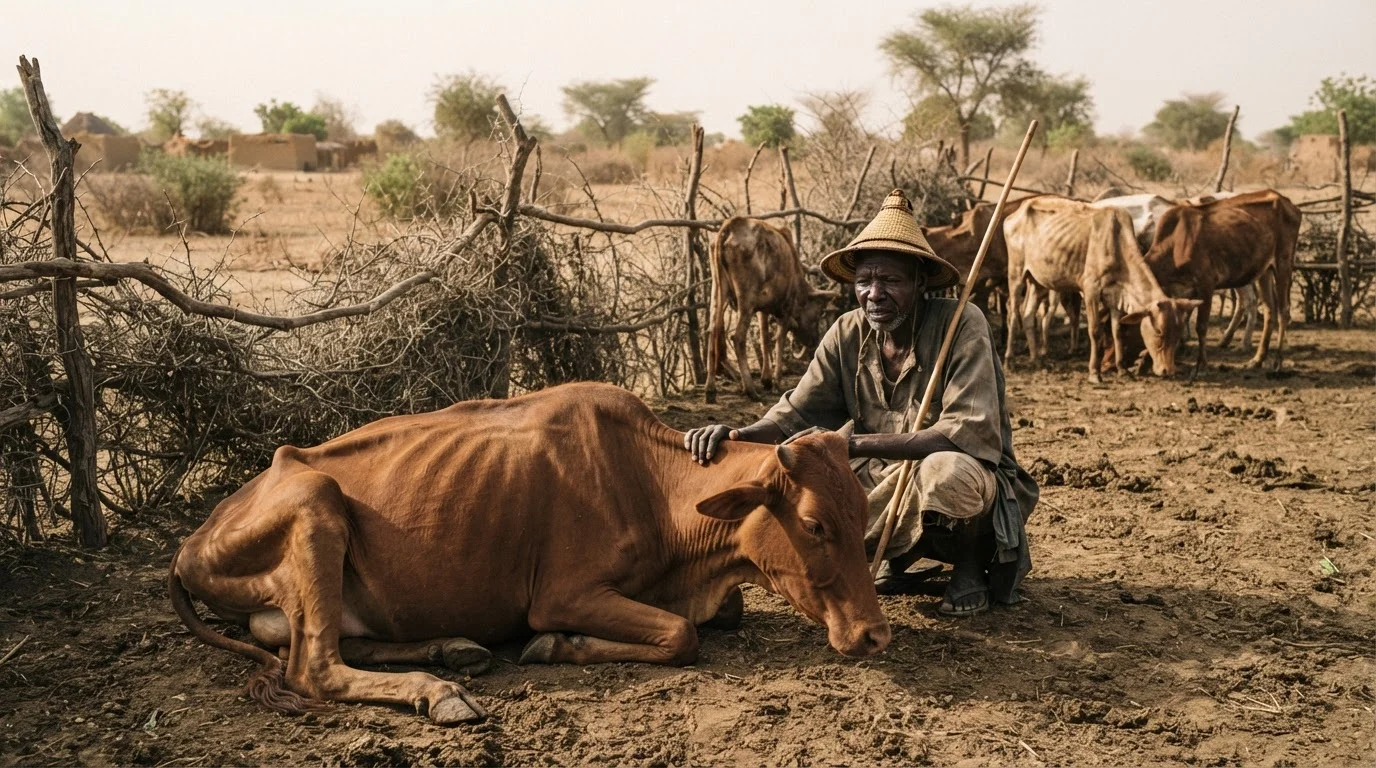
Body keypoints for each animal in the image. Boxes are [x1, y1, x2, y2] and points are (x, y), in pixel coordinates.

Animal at [169, 382, 890, 724]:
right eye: (814, 524)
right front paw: (554, 646)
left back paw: (453, 650)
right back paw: (441, 691)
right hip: (316, 502)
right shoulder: (564, 593)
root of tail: (190, 542)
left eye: (862, 510)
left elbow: (724, 611)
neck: (651, 486)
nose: (875, 635)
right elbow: (681, 634)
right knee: (313, 665)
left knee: (341, 644)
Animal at [706, 217, 837, 402]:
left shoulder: (763, 308)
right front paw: (776, 381)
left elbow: (764, 336)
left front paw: (766, 379)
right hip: (746, 299)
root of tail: (729, 226)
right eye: (818, 314)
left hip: (718, 291)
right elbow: (779, 340)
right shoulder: (785, 308)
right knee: (738, 337)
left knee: (713, 329)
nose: (813, 340)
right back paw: (750, 390)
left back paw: (710, 389)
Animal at [1003, 196, 1201, 382]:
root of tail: (1016, 213)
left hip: (1037, 281)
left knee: (1028, 316)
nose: (1167, 370)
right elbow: (1095, 330)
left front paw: (1122, 369)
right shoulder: (1091, 290)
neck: (1116, 244)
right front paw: (1094, 373)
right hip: (1016, 273)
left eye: (1178, 333)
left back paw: (1037, 359)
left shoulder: (1115, 296)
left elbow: (1117, 330)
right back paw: (1009, 361)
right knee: (1013, 314)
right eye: (1159, 331)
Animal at [1143, 189, 1300, 370]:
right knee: (1269, 311)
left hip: (1283, 264)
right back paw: (1257, 359)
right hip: (1265, 271)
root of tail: (1286, 201)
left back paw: (1277, 362)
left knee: (1283, 311)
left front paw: (1201, 364)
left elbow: (1201, 326)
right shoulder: (1182, 293)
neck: (1174, 244)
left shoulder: (1206, 284)